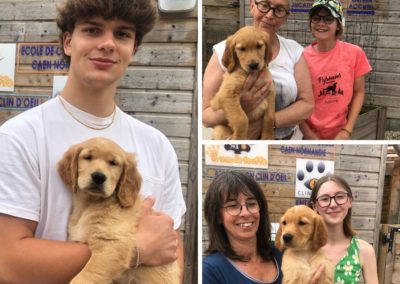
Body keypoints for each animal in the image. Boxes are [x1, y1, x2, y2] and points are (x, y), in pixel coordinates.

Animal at [57, 136, 178, 282]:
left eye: (113, 163)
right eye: (87, 157)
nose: (99, 177)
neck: (90, 204)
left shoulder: (112, 244)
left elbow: (85, 277)